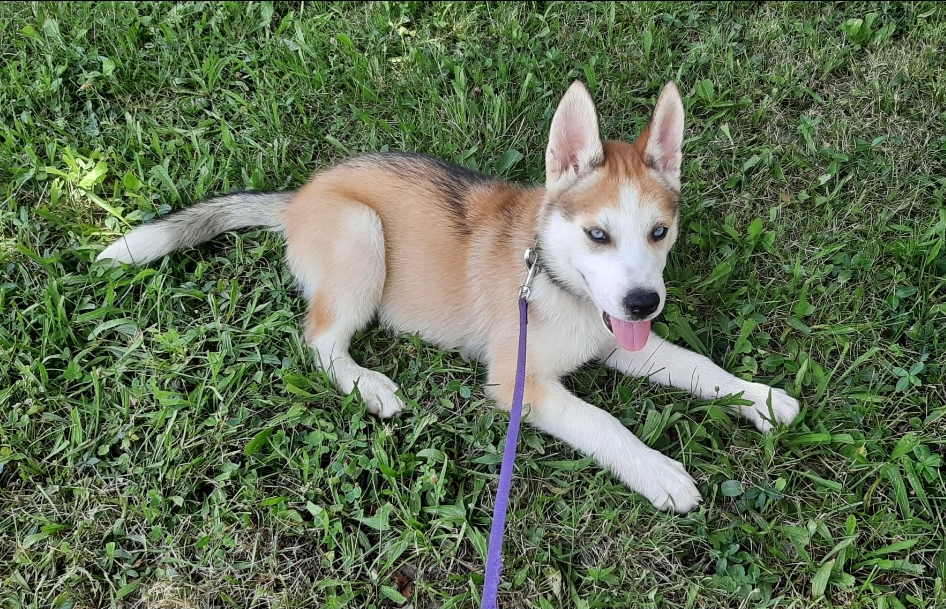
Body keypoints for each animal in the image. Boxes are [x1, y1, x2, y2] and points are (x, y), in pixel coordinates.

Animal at [97, 81, 800, 513]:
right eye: (597, 234)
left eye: (659, 232)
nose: (642, 304)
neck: (555, 280)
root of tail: (299, 197)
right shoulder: (520, 381)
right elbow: (603, 422)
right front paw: (657, 472)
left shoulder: (618, 341)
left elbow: (697, 366)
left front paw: (761, 397)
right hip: (362, 234)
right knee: (320, 340)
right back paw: (368, 386)